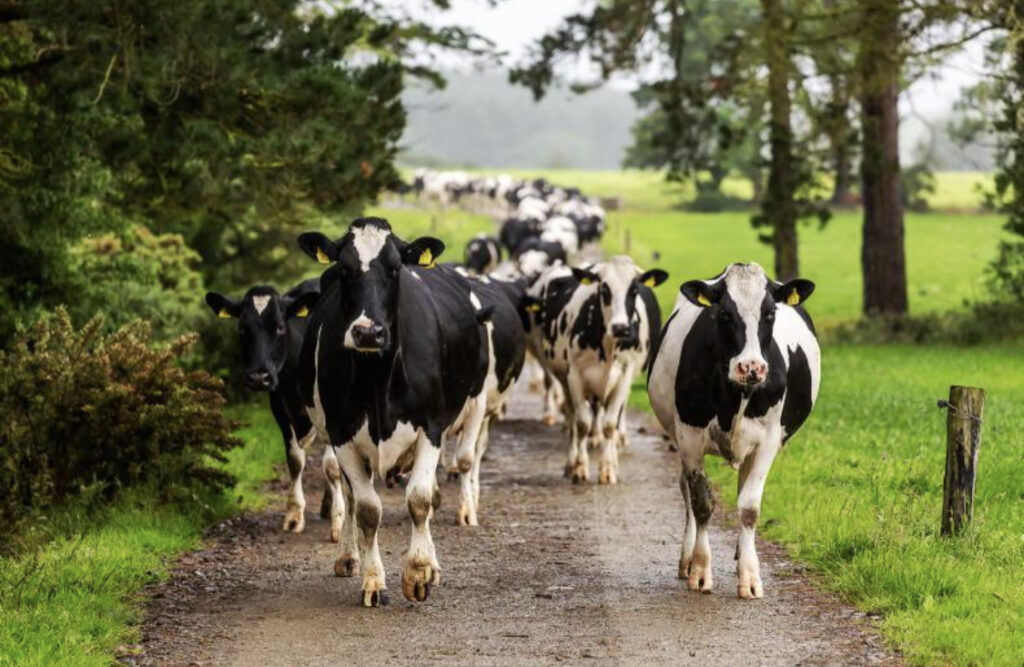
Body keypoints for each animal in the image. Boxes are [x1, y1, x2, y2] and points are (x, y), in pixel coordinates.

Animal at [205, 279, 336, 537]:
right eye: (243, 328)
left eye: (280, 327)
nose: (259, 377)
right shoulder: (280, 409)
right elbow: (295, 461)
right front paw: (294, 516)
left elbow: (331, 464)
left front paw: (340, 519)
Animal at [296, 217, 490, 607]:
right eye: (344, 268)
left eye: (396, 268)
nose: (368, 332)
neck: (377, 380)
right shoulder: (341, 434)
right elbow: (368, 510)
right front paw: (373, 582)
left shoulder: (430, 427)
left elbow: (419, 499)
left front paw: (418, 572)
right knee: (352, 499)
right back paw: (348, 556)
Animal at [535, 256, 668, 484]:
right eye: (604, 288)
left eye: (634, 289)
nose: (621, 327)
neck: (608, 346)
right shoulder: (575, 376)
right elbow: (581, 423)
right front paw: (579, 468)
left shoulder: (623, 376)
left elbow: (609, 425)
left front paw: (607, 469)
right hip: (564, 379)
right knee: (572, 417)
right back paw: (572, 461)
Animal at [646, 262, 820, 599]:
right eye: (724, 313)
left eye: (770, 312)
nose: (751, 367)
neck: (735, 395)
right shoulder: (689, 436)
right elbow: (702, 503)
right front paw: (700, 570)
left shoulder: (769, 441)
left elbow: (749, 508)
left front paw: (750, 576)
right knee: (686, 492)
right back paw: (687, 560)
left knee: (742, 490)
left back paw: (741, 552)